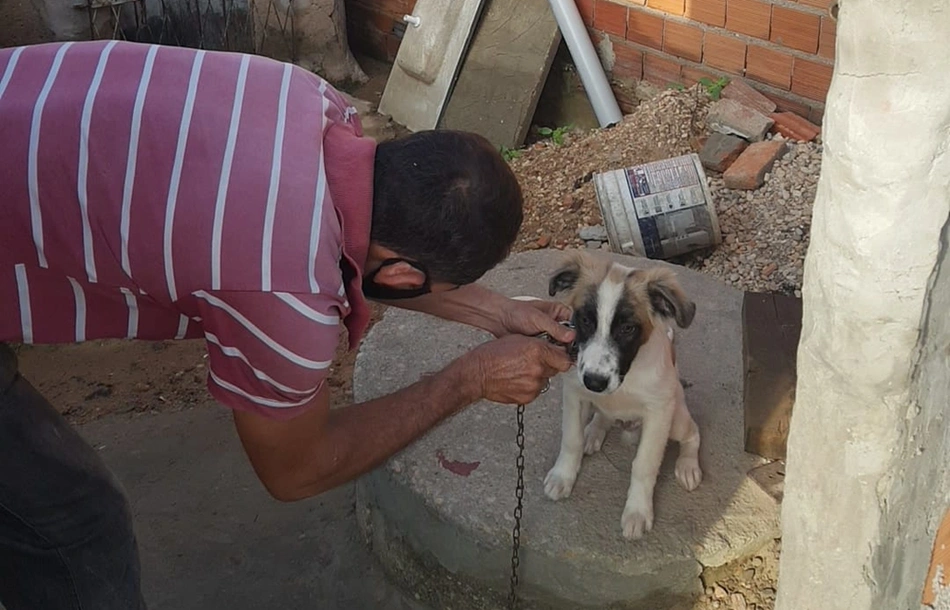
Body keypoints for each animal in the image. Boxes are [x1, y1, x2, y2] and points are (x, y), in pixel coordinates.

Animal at [540, 249, 704, 540]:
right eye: (585, 320)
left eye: (628, 329)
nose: (595, 381)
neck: (628, 376)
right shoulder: (575, 392)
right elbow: (571, 439)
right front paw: (563, 476)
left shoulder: (659, 414)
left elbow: (644, 465)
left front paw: (637, 511)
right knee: (602, 417)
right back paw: (593, 432)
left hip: (676, 418)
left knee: (693, 433)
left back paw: (687, 466)